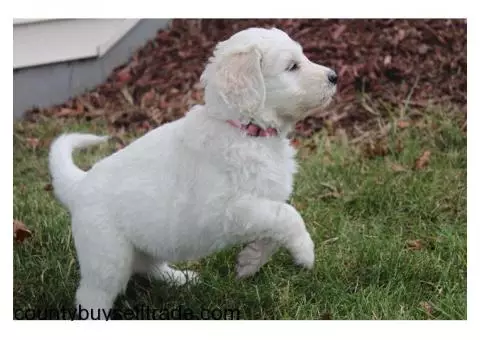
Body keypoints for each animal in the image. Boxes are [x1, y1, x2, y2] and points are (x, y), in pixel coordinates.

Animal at [47, 27, 334, 318]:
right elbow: (288, 215)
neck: (245, 130)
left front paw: (249, 262)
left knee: (149, 265)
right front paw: (305, 252)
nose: (334, 77)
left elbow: (273, 232)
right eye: (292, 66)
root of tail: (79, 184)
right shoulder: (228, 210)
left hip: (145, 241)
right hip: (107, 256)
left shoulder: (263, 202)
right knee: (92, 295)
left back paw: (180, 279)